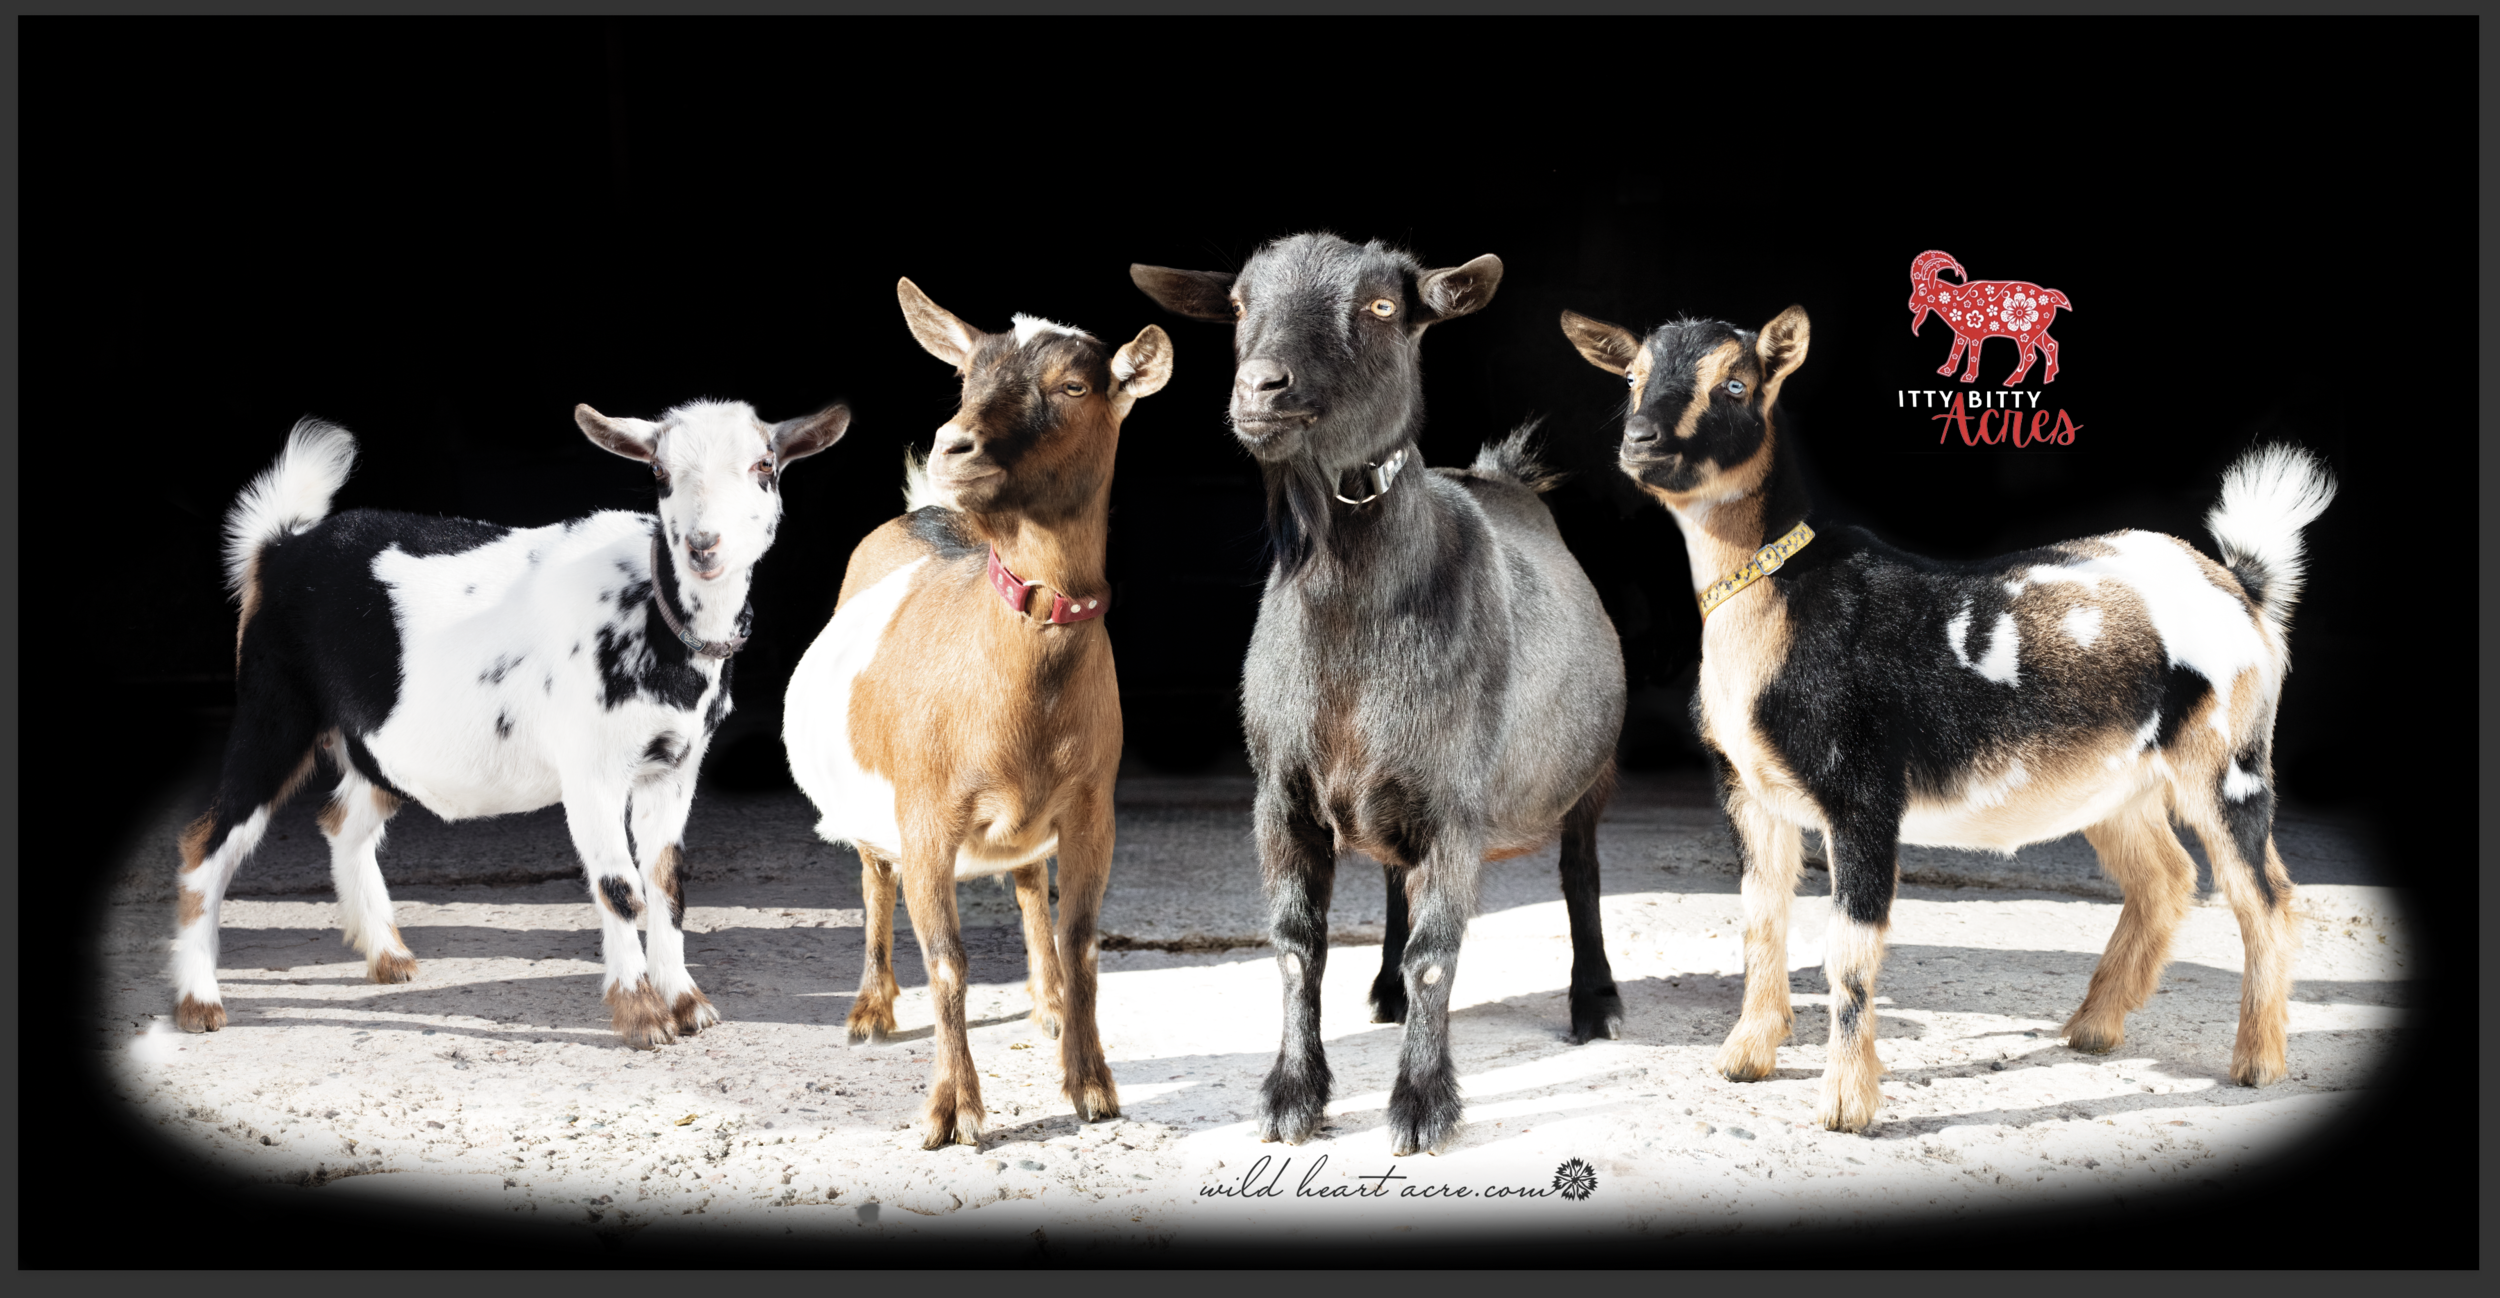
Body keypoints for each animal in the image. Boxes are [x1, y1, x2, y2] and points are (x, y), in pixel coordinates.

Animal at [173, 400, 851, 1047]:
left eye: (764, 466)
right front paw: (641, 1016)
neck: (655, 614)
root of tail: (281, 546)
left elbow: (666, 884)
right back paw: (199, 1002)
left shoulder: (675, 766)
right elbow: (619, 886)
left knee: (343, 824)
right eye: (658, 473)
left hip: (378, 748)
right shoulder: (591, 771)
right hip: (273, 711)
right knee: (209, 840)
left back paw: (387, 957)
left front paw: (686, 1003)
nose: (703, 546)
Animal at [782, 280, 1172, 1149]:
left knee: (1027, 881)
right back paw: (870, 1010)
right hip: (873, 803)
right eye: (965, 379)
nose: (953, 447)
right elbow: (948, 959)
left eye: (1074, 386)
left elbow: (1080, 940)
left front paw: (1090, 1084)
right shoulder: (928, 815)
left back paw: (1047, 1003)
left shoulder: (1093, 808)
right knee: (874, 877)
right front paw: (952, 1111)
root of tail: (927, 512)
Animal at [1135, 234, 1628, 1157]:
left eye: (1383, 307)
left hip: (1593, 770)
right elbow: (1297, 948)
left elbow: (1437, 953)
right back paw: (1389, 998)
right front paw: (1292, 1095)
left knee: (1580, 874)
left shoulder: (1457, 802)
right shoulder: (1282, 795)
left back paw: (1597, 1003)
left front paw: (1423, 1106)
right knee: (1399, 885)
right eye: (1242, 303)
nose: (1262, 387)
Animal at [1561, 303, 2334, 1131]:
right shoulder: (1747, 791)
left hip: (2228, 758)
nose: (1642, 440)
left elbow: (1849, 948)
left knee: (2265, 897)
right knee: (2165, 876)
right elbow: (1760, 918)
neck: (1780, 602)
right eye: (1632, 377)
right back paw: (2092, 1029)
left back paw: (2256, 1062)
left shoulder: (1862, 793)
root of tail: (2241, 586)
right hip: (2116, 782)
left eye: (1736, 384)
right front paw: (1746, 1057)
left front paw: (1847, 1104)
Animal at [1909, 250, 2072, 385]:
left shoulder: (1976, 334)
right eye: (1914, 288)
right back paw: (2049, 378)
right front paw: (1946, 370)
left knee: (2029, 356)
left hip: (2024, 336)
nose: (1911, 305)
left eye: (1923, 290)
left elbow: (1974, 355)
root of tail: (2051, 297)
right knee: (2051, 346)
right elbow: (1956, 351)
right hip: (2037, 333)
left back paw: (2010, 381)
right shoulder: (1961, 334)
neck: (1955, 300)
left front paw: (1968, 377)